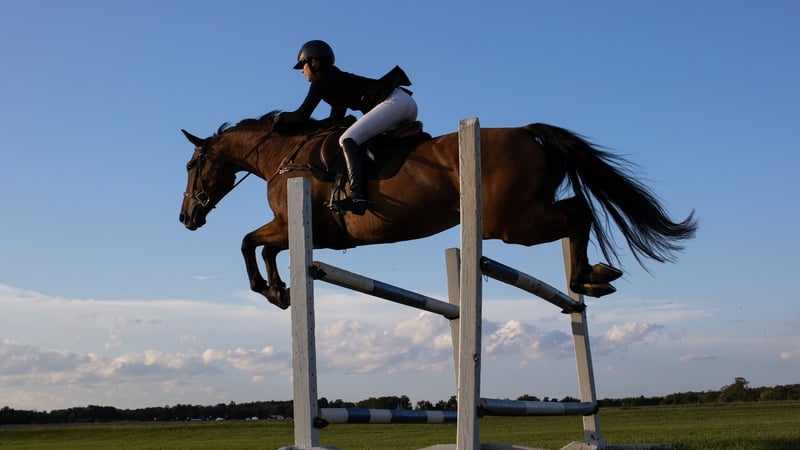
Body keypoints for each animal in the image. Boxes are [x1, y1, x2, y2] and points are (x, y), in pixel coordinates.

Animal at [179, 112, 697, 309]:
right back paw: (592, 277)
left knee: (577, 214)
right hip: (525, 214)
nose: (186, 218)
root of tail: (527, 133)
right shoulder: (298, 231)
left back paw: (585, 278)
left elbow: (249, 243)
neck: (284, 158)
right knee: (577, 211)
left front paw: (270, 290)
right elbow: (263, 247)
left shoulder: (293, 224)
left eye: (190, 165)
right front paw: (280, 290)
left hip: (512, 224)